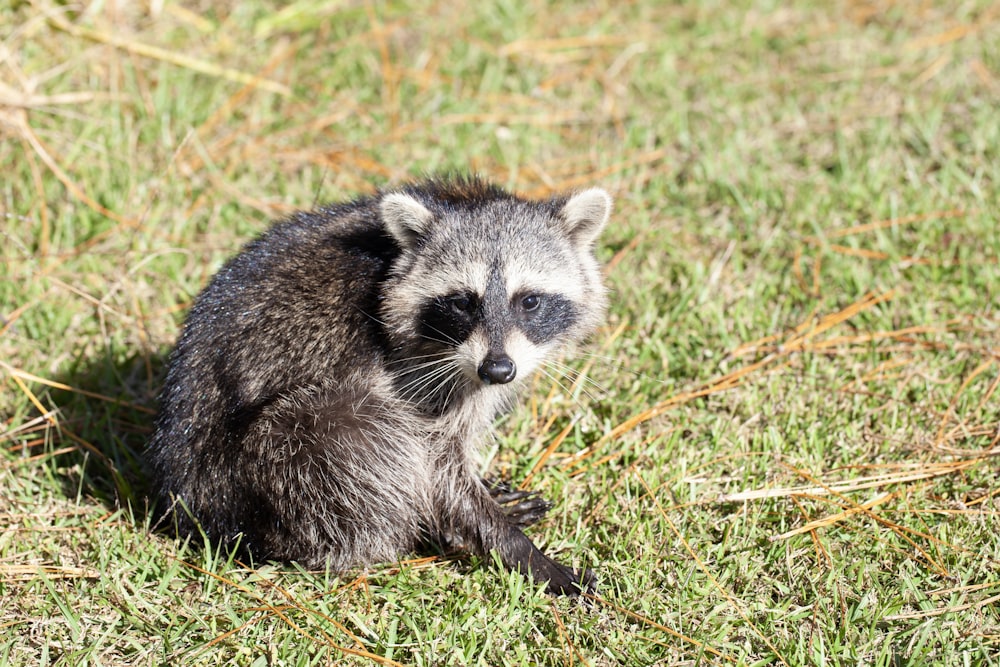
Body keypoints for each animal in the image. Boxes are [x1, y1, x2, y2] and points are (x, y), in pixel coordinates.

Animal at [147, 177, 608, 596]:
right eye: (463, 302)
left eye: (529, 301)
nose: (497, 371)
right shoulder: (417, 370)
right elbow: (437, 467)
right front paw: (515, 548)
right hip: (280, 457)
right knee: (361, 439)